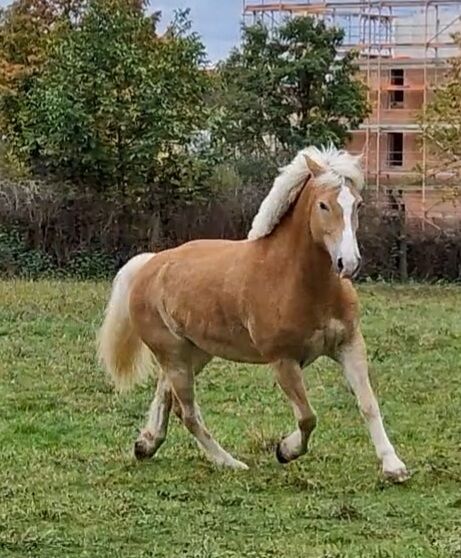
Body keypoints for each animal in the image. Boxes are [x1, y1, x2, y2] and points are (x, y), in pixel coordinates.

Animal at [97, 147, 406, 484]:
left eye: (357, 204)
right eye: (323, 205)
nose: (348, 263)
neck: (295, 279)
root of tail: (149, 264)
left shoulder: (349, 344)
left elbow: (368, 403)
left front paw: (394, 466)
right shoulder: (283, 361)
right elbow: (308, 417)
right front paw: (285, 451)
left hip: (195, 353)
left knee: (166, 394)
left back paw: (146, 444)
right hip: (174, 355)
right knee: (187, 412)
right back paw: (229, 463)